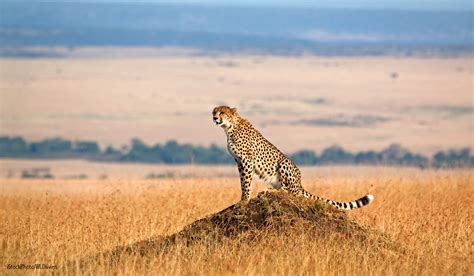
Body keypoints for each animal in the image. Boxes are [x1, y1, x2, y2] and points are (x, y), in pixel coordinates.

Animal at [212, 105, 374, 209]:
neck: (229, 127)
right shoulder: (238, 161)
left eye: (222, 112)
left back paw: (268, 191)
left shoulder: (246, 160)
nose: (214, 118)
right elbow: (242, 182)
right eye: (214, 112)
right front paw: (242, 199)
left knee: (289, 191)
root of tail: (300, 183)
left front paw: (244, 201)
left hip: (284, 163)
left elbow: (246, 182)